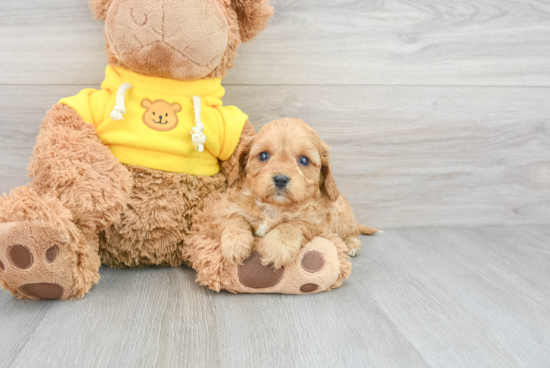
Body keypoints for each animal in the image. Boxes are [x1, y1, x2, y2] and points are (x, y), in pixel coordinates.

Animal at [212, 119, 380, 268]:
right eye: (263, 156)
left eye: (304, 160)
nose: (280, 179)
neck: (274, 207)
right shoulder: (224, 209)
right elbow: (235, 218)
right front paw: (235, 244)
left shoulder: (317, 221)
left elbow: (293, 223)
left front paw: (277, 247)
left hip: (343, 216)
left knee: (352, 231)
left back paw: (352, 244)